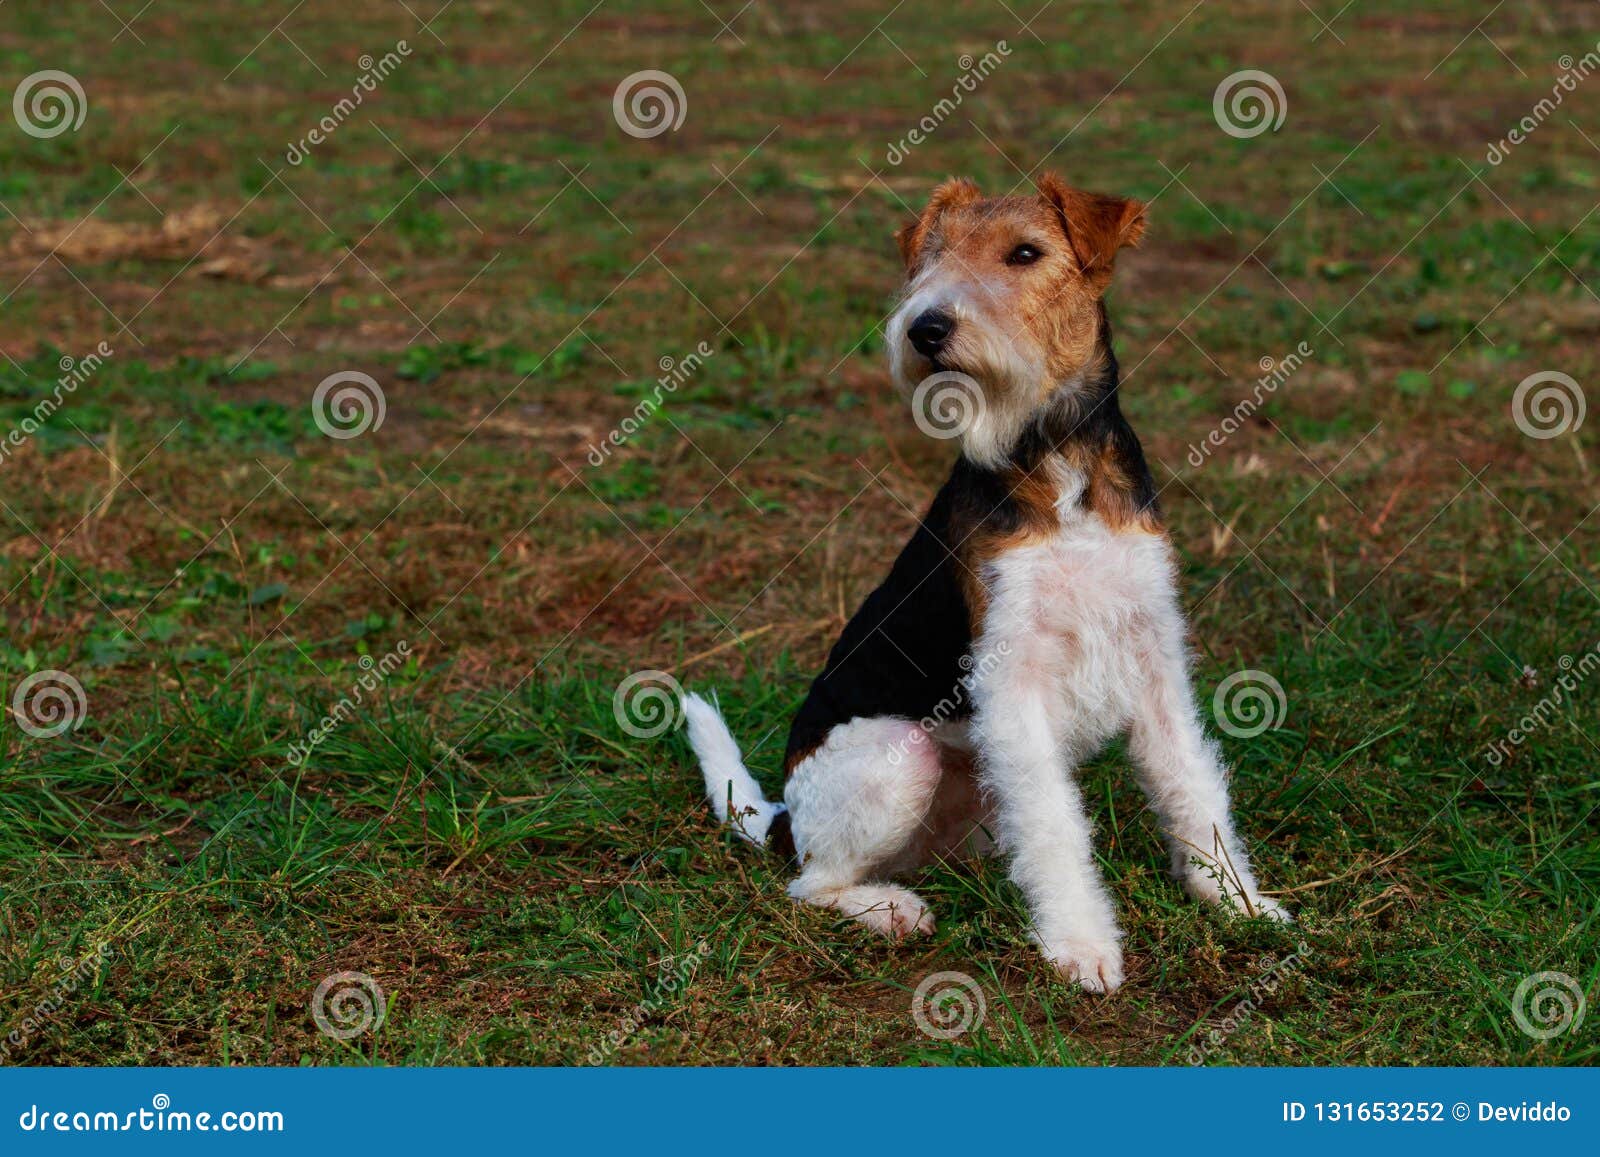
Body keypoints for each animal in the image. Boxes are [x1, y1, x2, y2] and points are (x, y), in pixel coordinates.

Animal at [684, 174, 1286, 998]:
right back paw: (891, 910)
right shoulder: (1015, 679)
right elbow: (1058, 826)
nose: (926, 329)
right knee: (810, 884)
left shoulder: (1153, 651)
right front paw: (1081, 946)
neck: (1057, 456)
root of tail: (783, 813)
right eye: (929, 256)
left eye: (1025, 254)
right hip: (901, 753)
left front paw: (1238, 901)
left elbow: (1192, 787)